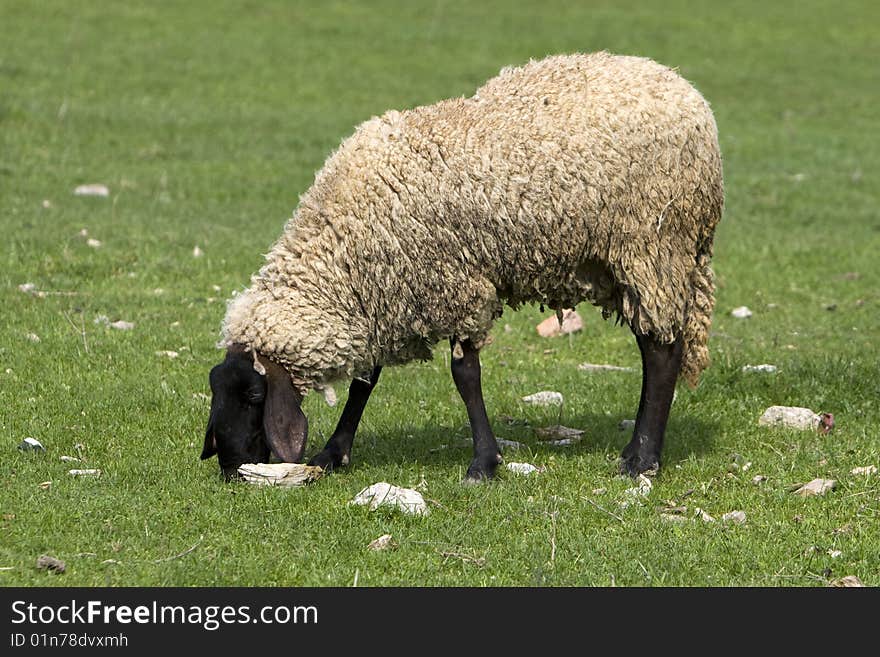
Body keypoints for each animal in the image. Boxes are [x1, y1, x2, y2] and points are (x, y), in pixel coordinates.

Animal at [201, 51, 720, 482]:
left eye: (253, 396)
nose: (229, 469)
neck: (343, 246)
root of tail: (686, 90)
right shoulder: (388, 290)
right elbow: (365, 383)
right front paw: (333, 453)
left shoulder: (455, 283)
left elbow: (465, 376)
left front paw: (483, 463)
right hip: (628, 261)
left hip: (652, 245)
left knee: (662, 351)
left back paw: (641, 458)